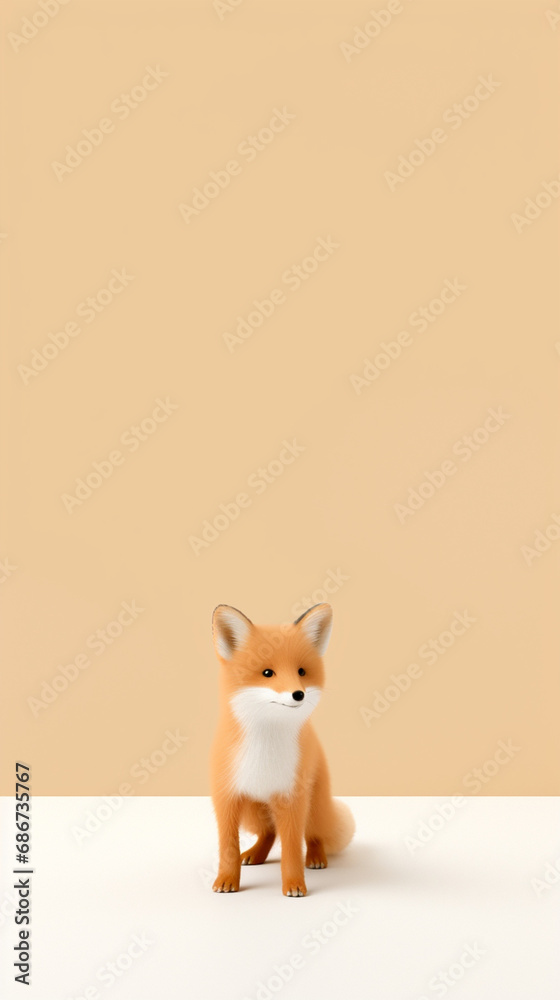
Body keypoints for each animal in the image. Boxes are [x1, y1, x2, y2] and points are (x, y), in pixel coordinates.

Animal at [210, 602, 355, 897]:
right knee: (269, 832)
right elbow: (228, 848)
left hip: (313, 806)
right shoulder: (227, 797)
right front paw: (227, 879)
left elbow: (291, 850)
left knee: (313, 835)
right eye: (267, 673)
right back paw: (254, 854)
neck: (265, 752)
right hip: (253, 812)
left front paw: (294, 884)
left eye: (301, 672)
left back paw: (316, 857)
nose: (298, 694)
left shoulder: (291, 798)